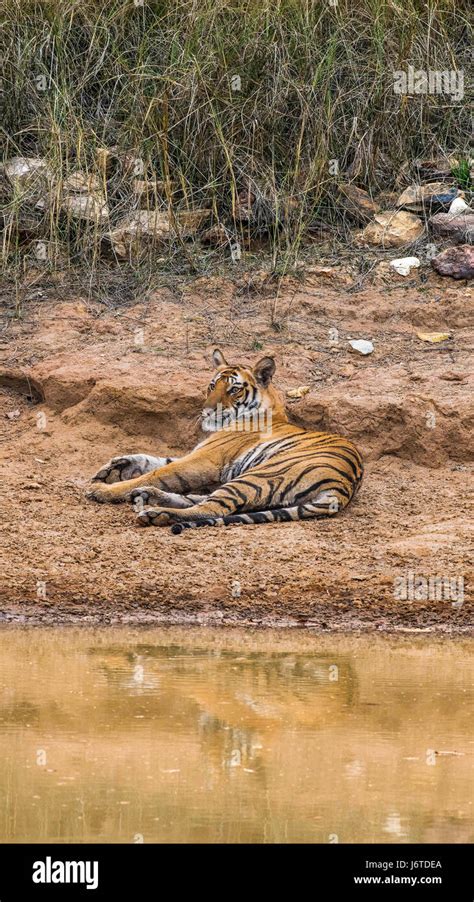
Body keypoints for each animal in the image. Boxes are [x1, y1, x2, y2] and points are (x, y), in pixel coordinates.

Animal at [87, 352, 362, 536]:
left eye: (233, 390)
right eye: (212, 385)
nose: (207, 411)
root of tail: (343, 487)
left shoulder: (206, 459)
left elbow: (160, 471)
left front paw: (103, 489)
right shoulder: (199, 454)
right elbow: (153, 460)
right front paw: (114, 467)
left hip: (260, 474)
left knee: (214, 508)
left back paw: (155, 511)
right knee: (202, 500)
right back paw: (147, 496)